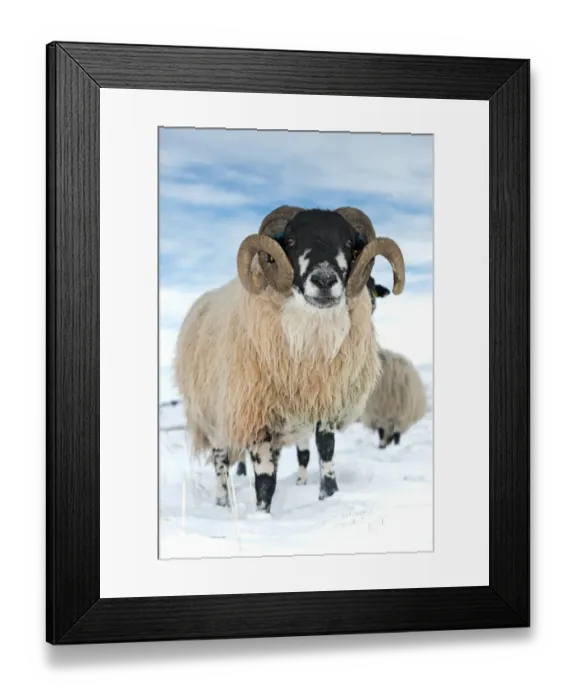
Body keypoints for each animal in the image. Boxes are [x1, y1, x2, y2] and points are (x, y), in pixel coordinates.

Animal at [174, 205, 406, 514]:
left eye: (348, 243)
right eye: (292, 241)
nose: (324, 281)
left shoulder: (324, 402)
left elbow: (325, 453)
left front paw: (329, 496)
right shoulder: (255, 411)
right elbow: (264, 478)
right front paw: (262, 515)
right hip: (214, 415)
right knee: (221, 464)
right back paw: (223, 502)